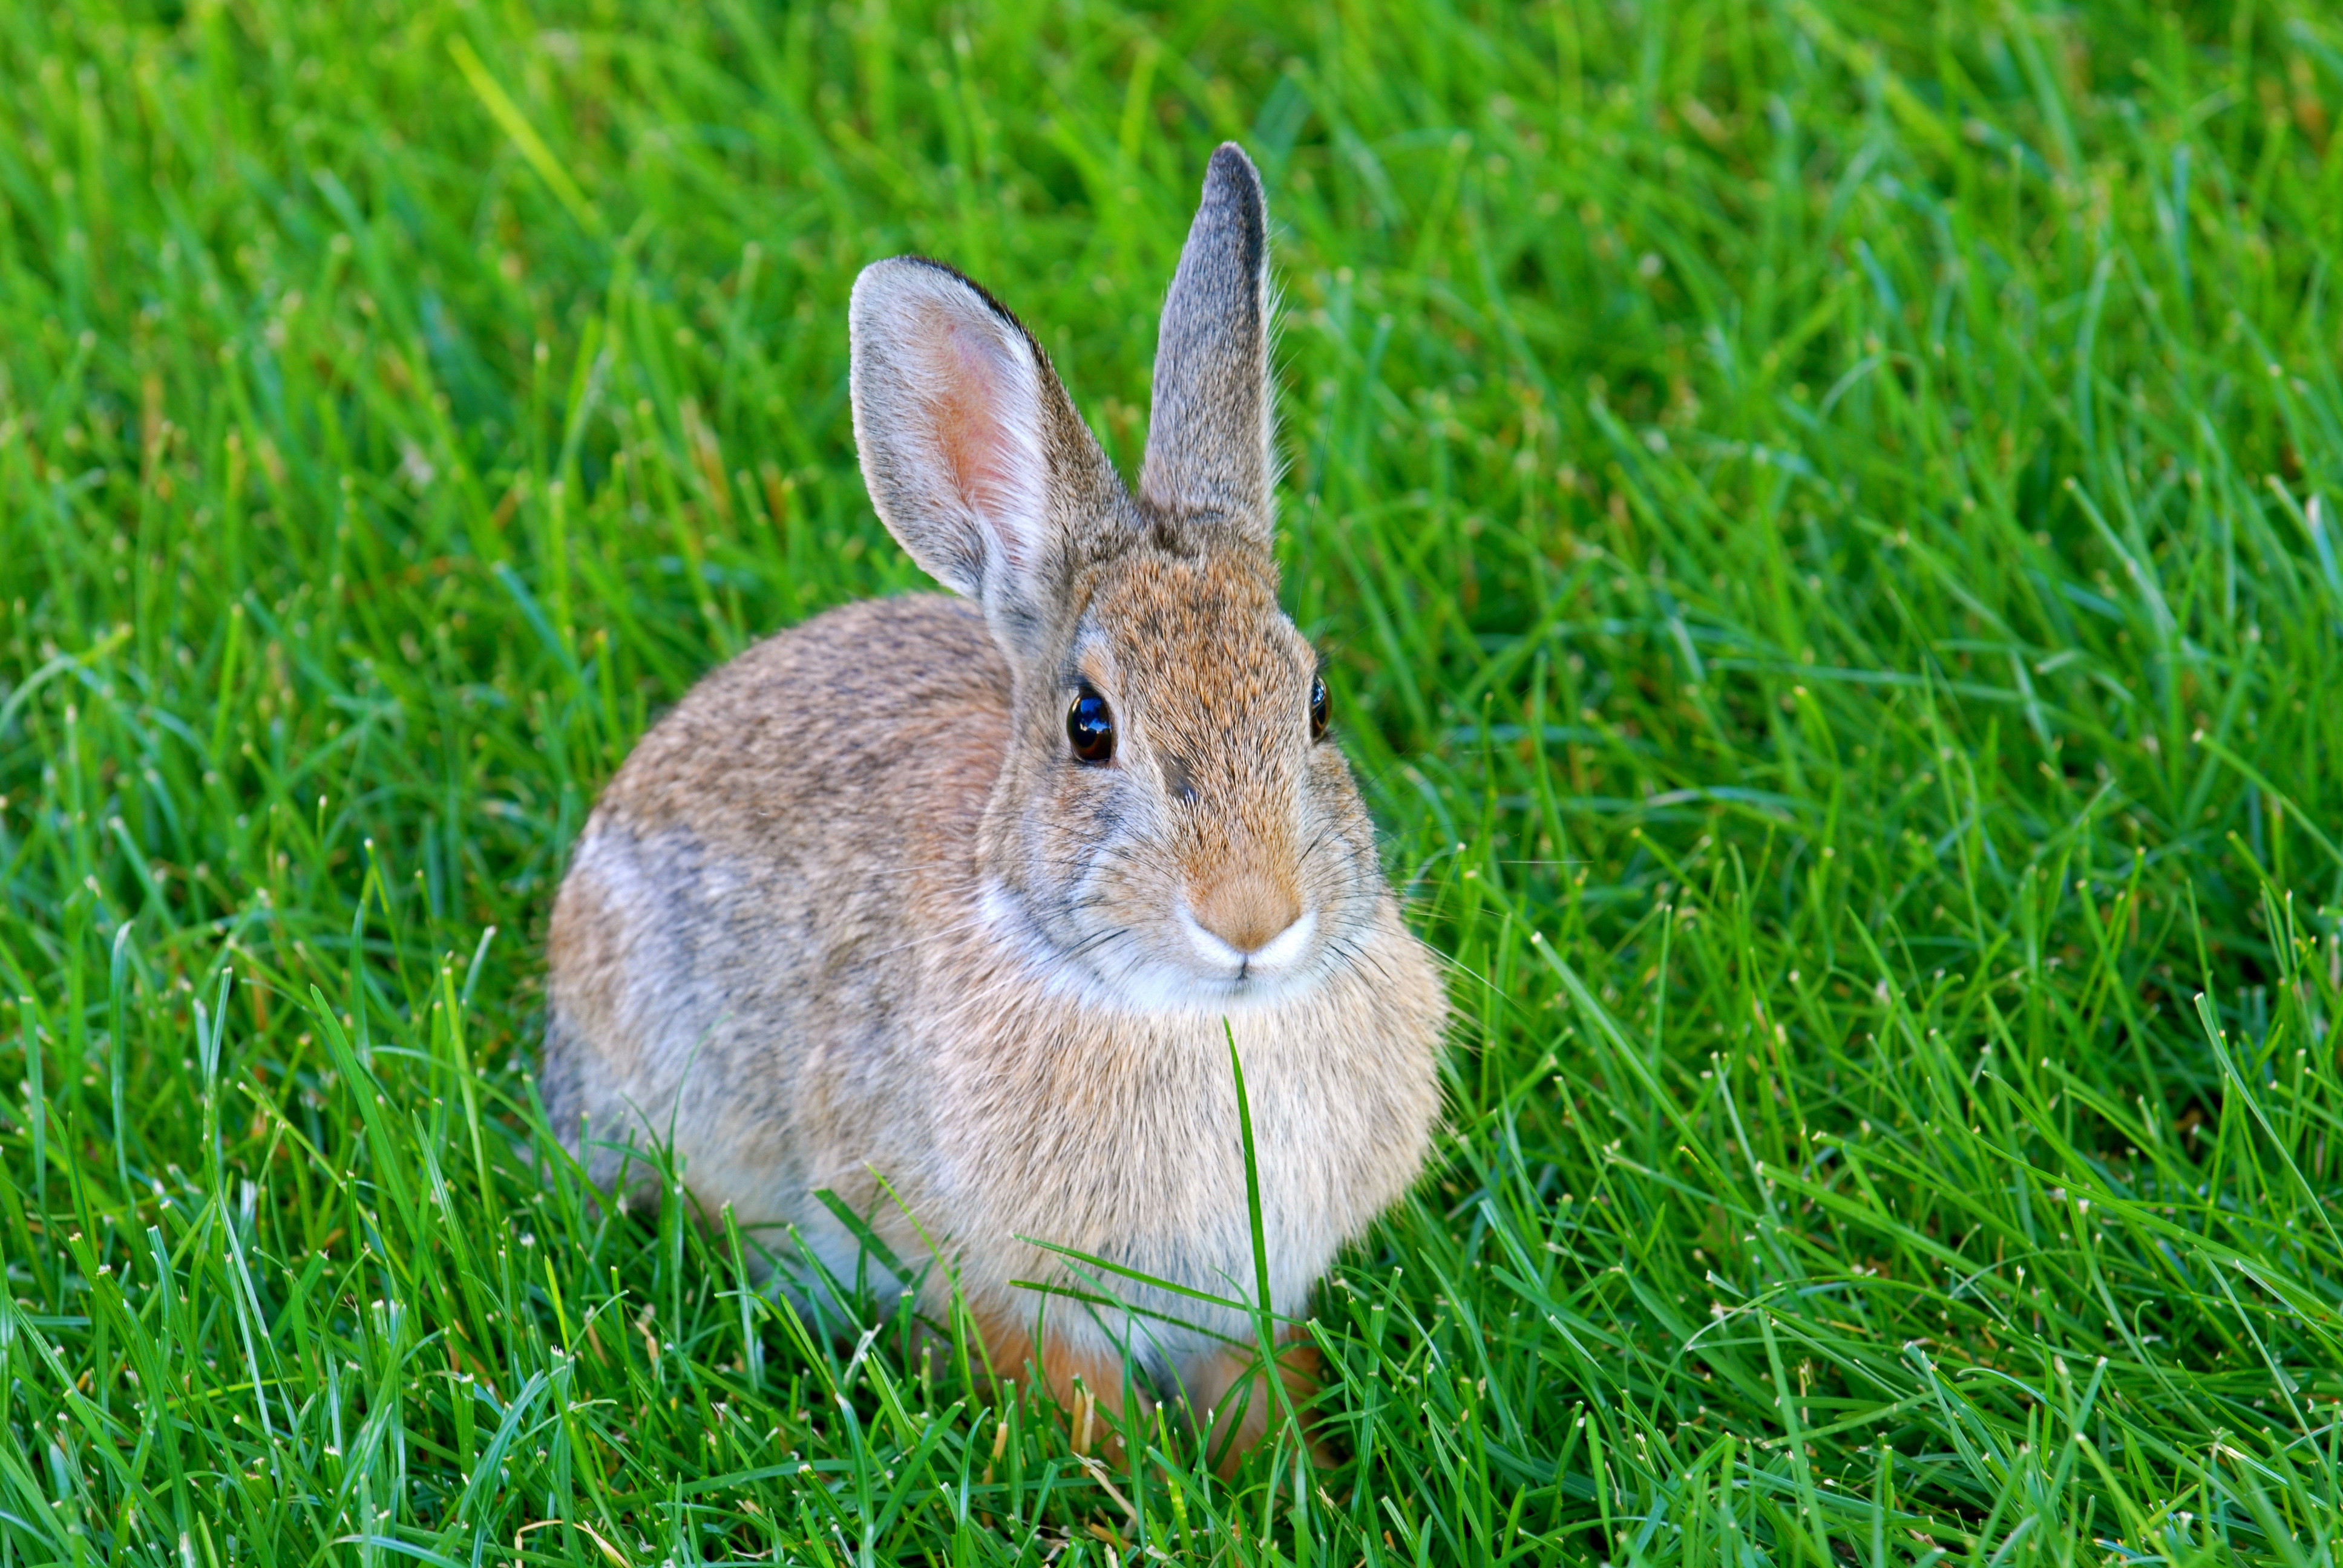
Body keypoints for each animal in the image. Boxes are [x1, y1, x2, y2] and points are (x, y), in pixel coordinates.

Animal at [543, 146, 1443, 1472]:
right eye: (1088, 725)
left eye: (1317, 703)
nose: (1251, 918)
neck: (1187, 1015)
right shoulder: (1005, 1281)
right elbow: (1075, 1398)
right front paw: (1133, 1495)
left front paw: (1296, 1482)